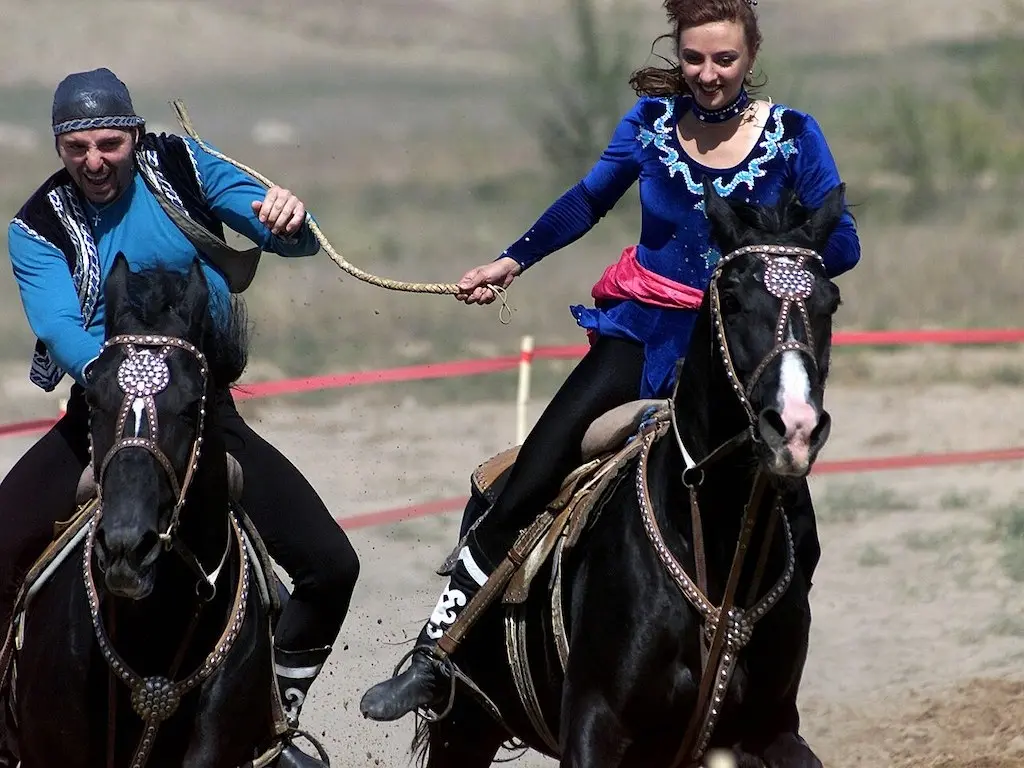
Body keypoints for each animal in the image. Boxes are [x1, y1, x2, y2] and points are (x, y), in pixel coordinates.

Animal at [403, 182, 843, 768]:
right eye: (732, 299)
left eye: (829, 303)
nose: (793, 426)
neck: (713, 537)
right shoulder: (594, 723)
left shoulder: (768, 729)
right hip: (467, 725)